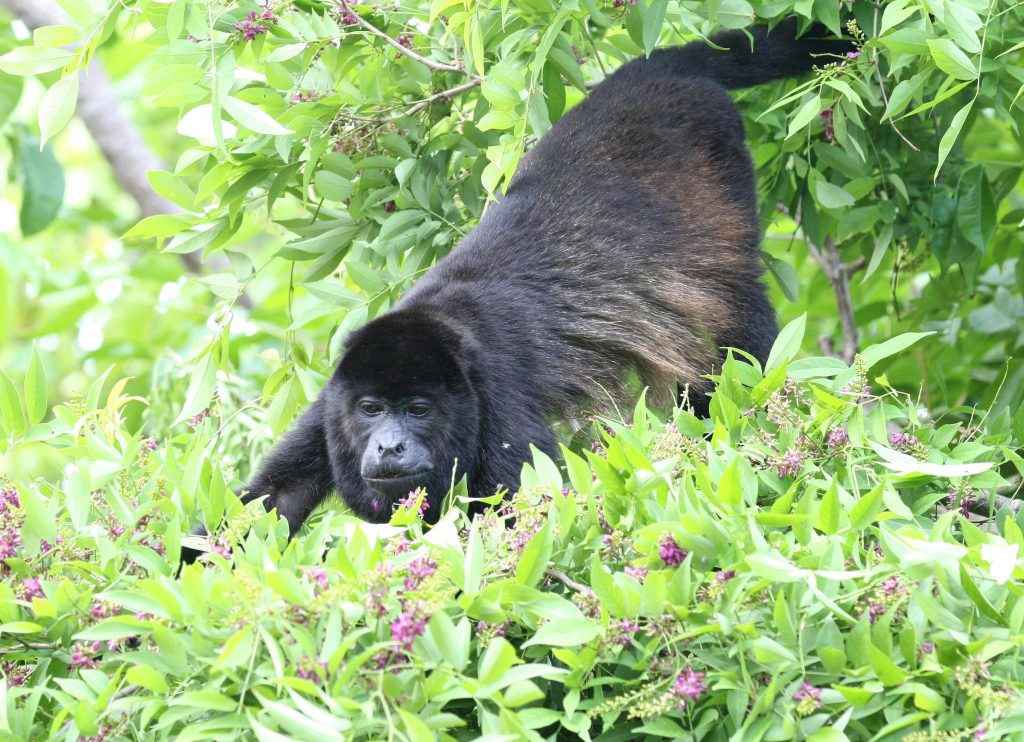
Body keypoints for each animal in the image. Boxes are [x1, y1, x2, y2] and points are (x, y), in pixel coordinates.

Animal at [182, 18, 847, 556]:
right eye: (371, 410)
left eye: (418, 410)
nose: (390, 448)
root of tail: (664, 67)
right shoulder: (331, 403)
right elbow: (270, 501)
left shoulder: (498, 393)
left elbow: (525, 517)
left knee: (735, 320)